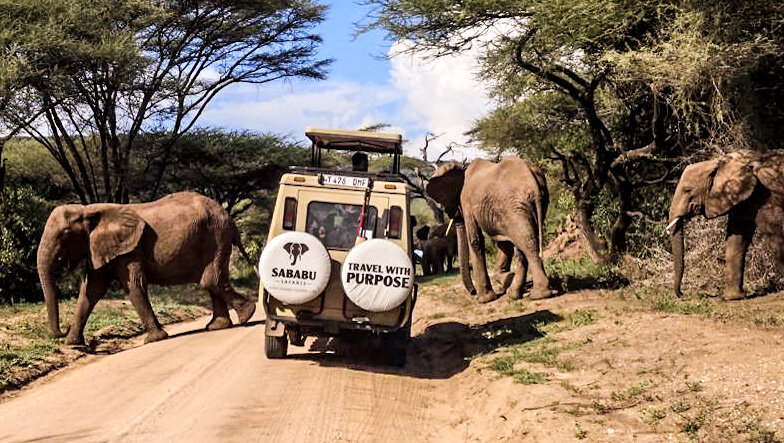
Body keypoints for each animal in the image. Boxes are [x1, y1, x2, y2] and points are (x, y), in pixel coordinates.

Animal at [37, 191, 258, 346]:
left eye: (65, 235)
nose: (62, 331)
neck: (88, 211)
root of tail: (229, 218)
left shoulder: (130, 249)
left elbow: (134, 286)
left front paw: (154, 339)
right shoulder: (100, 247)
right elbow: (91, 290)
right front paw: (72, 344)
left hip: (216, 237)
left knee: (210, 280)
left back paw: (248, 314)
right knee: (210, 281)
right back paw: (218, 326)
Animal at [426, 158, 556, 304]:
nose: (473, 292)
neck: (462, 169)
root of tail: (532, 178)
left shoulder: (467, 202)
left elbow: (476, 241)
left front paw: (485, 299)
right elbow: (504, 243)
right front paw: (506, 278)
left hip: (514, 206)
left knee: (526, 242)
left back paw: (539, 294)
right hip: (527, 204)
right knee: (523, 242)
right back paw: (514, 294)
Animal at [668, 151, 784, 300]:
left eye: (688, 190)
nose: (682, 294)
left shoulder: (765, 196)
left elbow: (776, 232)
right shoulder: (742, 199)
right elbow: (737, 238)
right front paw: (733, 298)